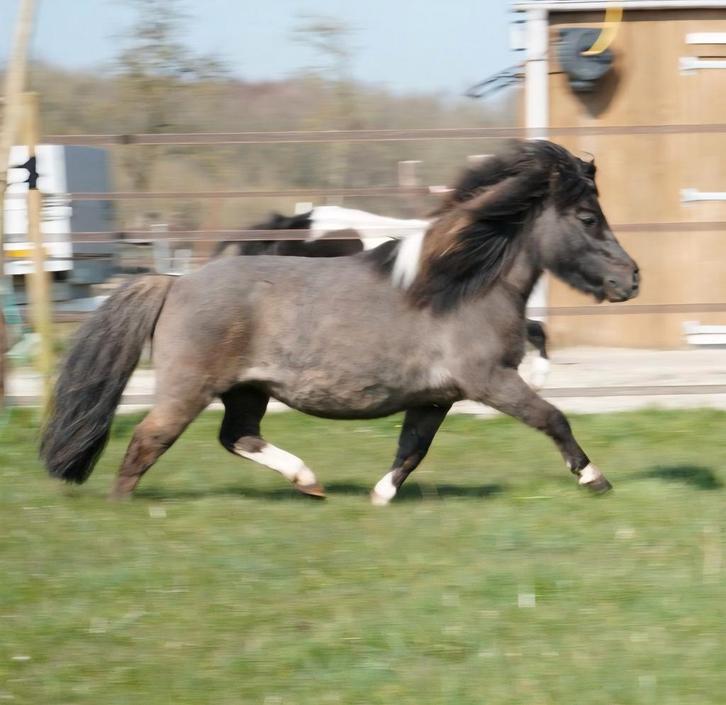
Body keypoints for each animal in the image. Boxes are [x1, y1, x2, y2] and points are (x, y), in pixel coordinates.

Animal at [40, 139, 639, 504]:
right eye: (588, 218)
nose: (631, 279)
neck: (462, 284)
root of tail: (176, 282)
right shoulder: (489, 380)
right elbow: (552, 418)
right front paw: (596, 478)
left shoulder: (435, 397)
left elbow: (412, 449)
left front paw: (380, 495)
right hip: (187, 389)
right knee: (148, 440)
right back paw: (123, 504)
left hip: (247, 390)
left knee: (237, 436)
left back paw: (308, 482)